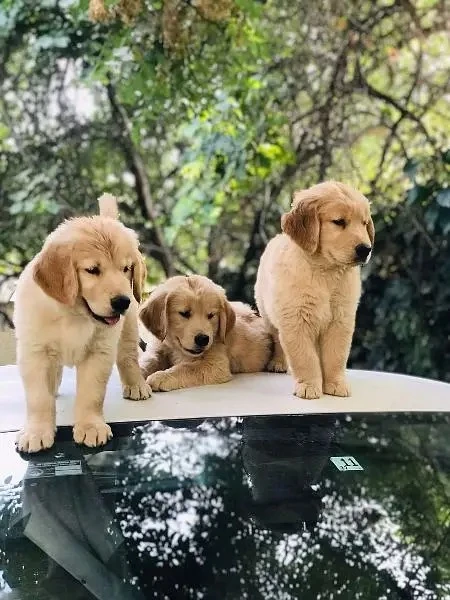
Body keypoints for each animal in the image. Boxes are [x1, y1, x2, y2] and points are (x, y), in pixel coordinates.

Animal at [14, 195, 151, 452]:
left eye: (126, 268)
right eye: (92, 270)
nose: (122, 302)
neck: (73, 315)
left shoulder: (100, 352)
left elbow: (91, 394)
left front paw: (90, 427)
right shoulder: (34, 352)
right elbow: (39, 398)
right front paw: (36, 431)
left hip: (128, 328)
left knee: (128, 356)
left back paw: (136, 384)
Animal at [139, 276, 272, 392]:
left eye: (211, 315)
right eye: (184, 313)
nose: (203, 339)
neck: (175, 348)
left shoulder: (216, 364)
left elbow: (187, 367)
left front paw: (162, 376)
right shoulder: (157, 350)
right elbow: (147, 361)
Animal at [255, 180, 374, 400]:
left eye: (364, 223)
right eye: (339, 222)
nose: (365, 249)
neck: (326, 273)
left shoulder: (340, 320)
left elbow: (336, 356)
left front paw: (335, 383)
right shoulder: (296, 320)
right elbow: (305, 358)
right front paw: (309, 386)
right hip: (268, 314)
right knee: (277, 340)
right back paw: (279, 363)